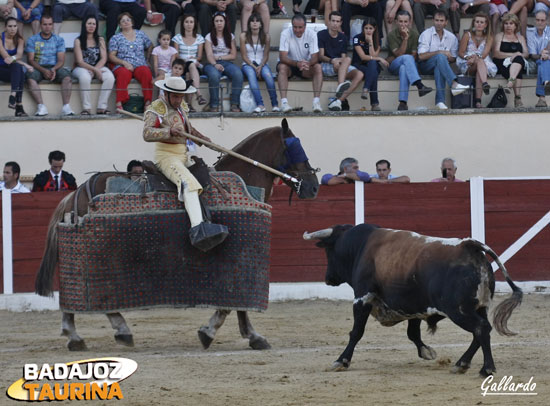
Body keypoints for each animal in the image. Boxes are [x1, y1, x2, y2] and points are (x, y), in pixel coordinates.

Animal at [35, 116, 320, 348]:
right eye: (296, 146)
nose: (314, 186)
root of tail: (76, 193)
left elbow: (237, 303)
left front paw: (246, 334)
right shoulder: (240, 259)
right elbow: (231, 305)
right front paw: (217, 333)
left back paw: (83, 334)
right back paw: (99, 333)